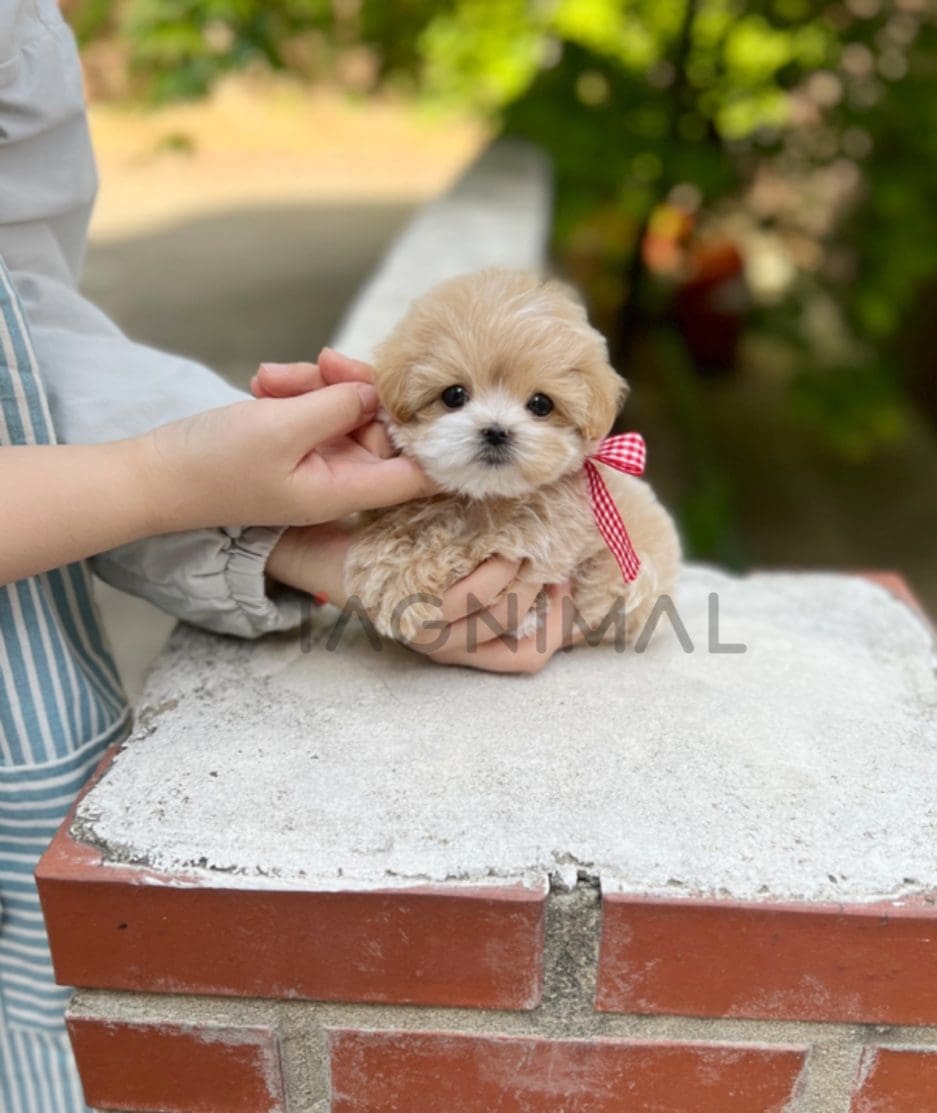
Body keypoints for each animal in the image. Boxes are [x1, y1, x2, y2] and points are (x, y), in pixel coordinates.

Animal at [344, 269, 681, 649]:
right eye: (454, 395)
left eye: (541, 404)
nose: (496, 431)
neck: (484, 497)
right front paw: (383, 558)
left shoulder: (538, 536)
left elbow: (475, 545)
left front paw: (400, 581)